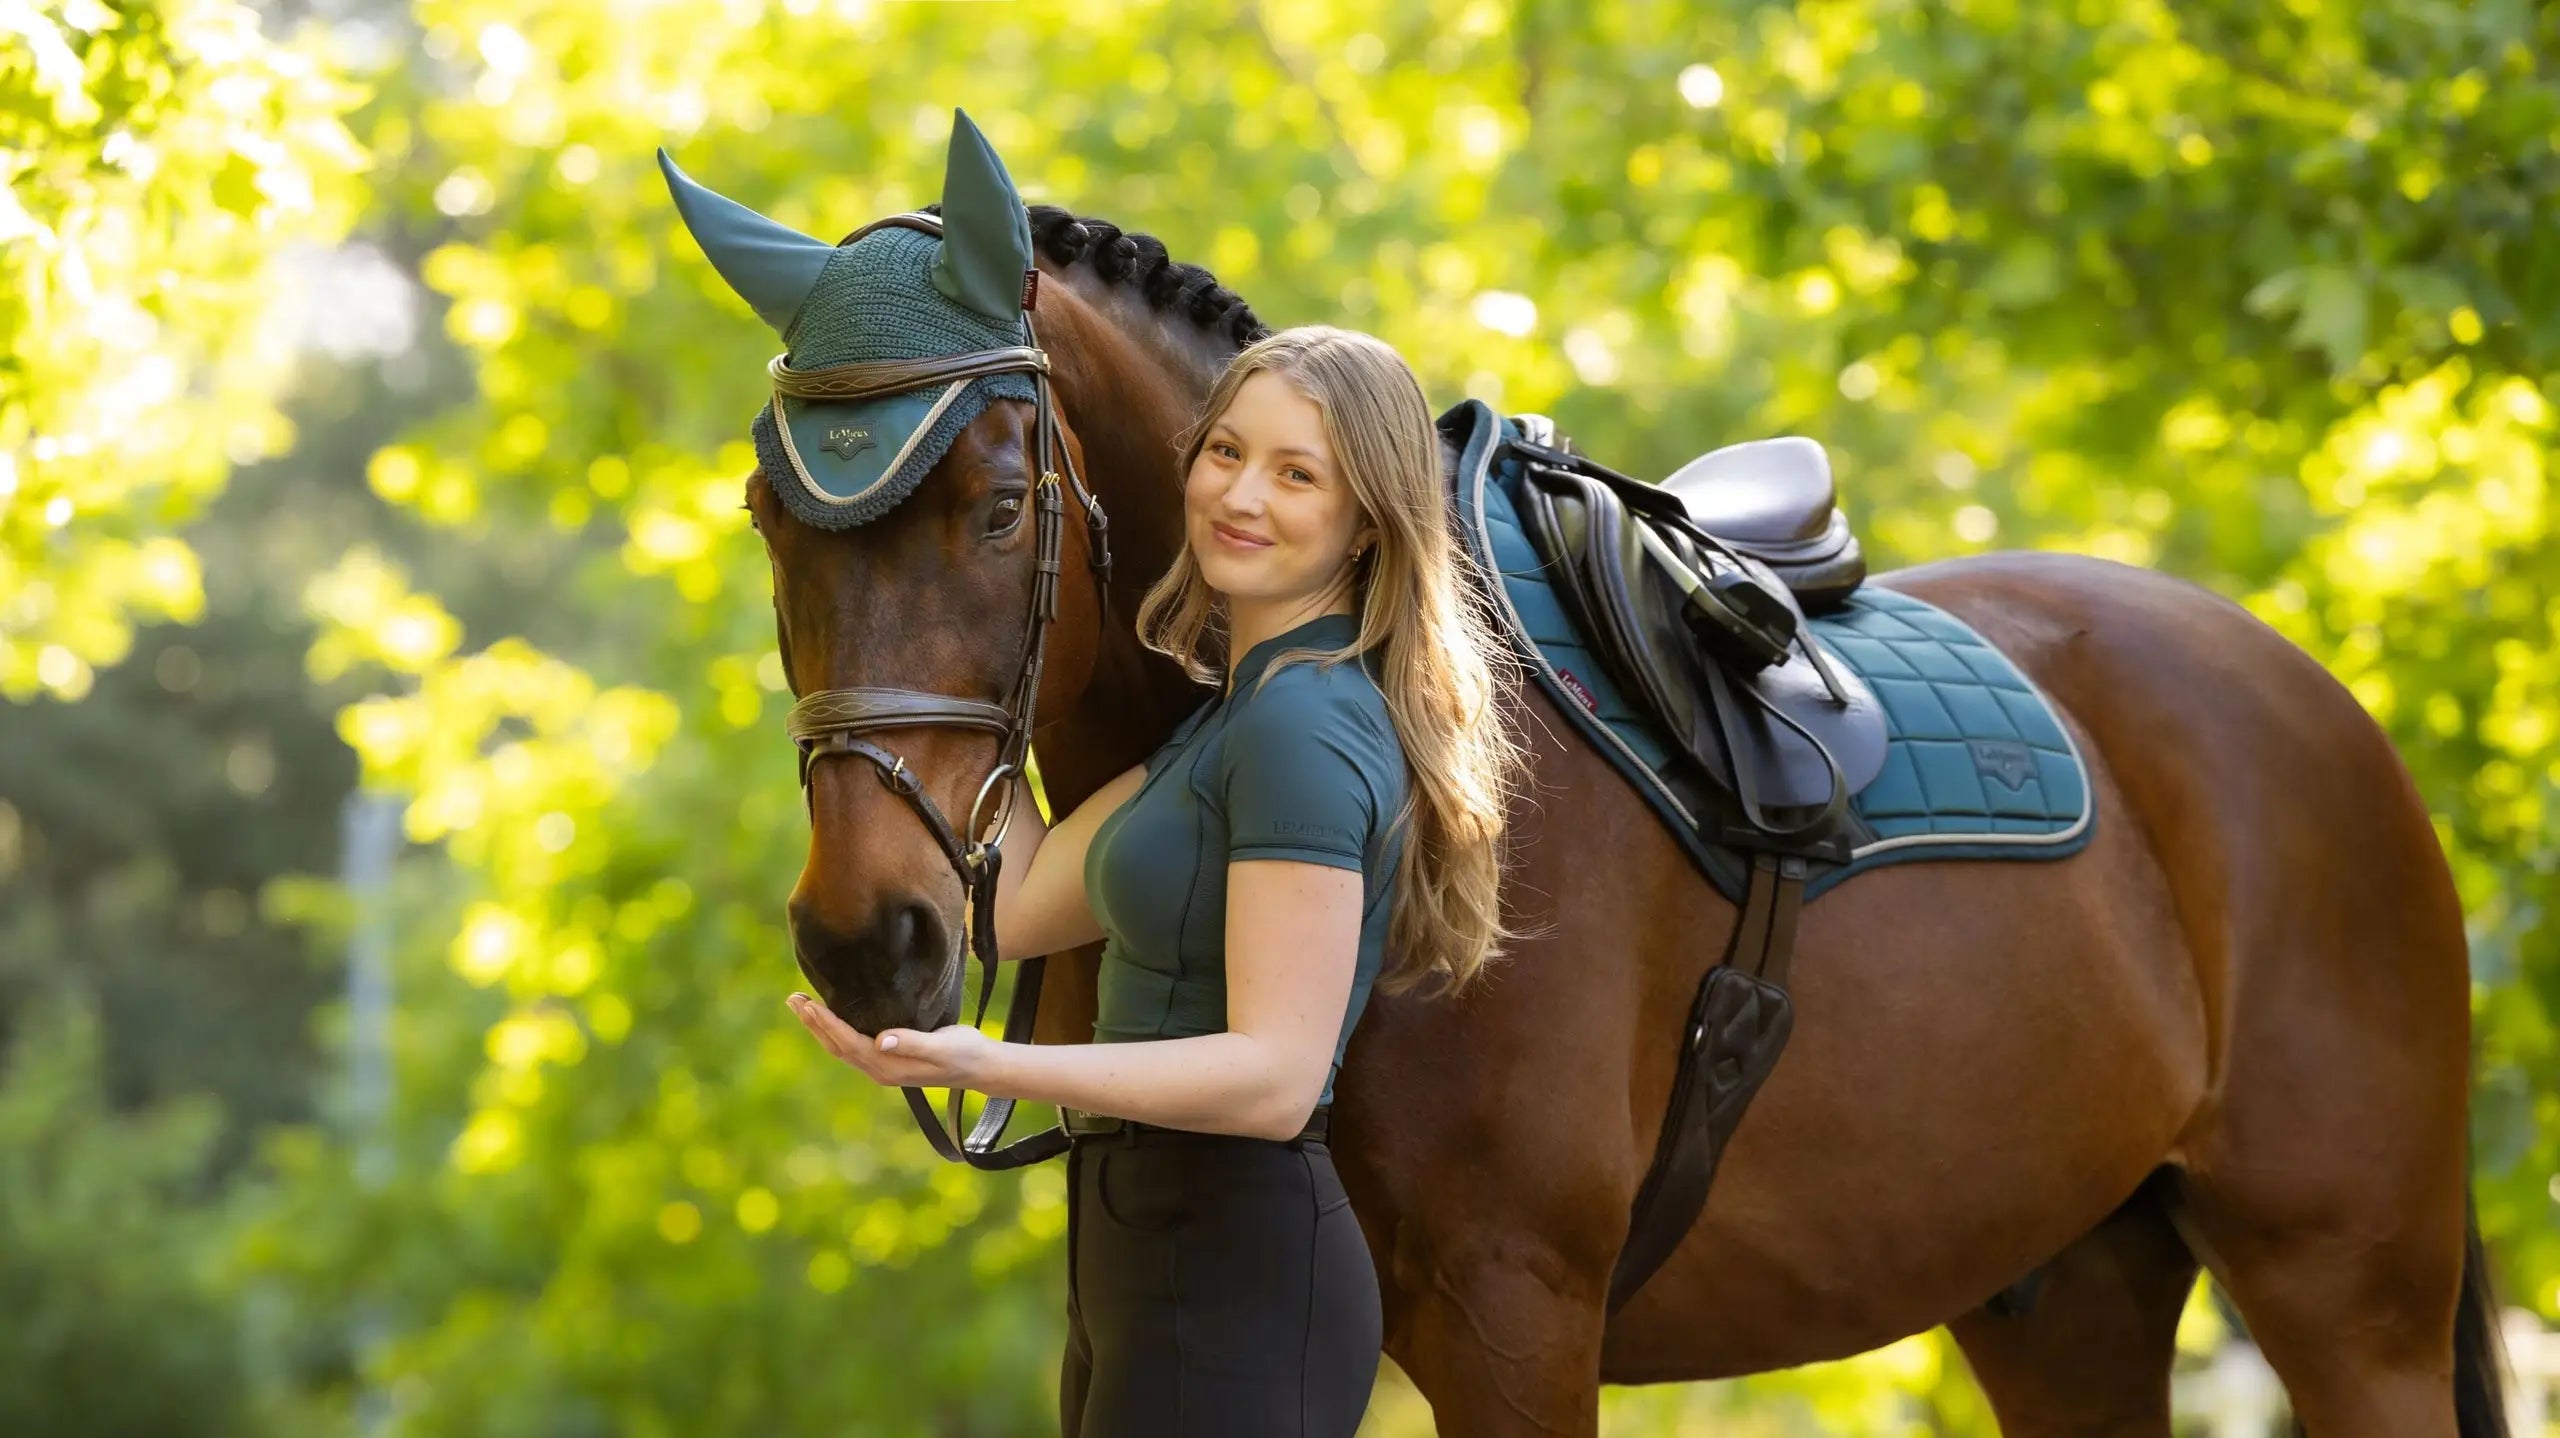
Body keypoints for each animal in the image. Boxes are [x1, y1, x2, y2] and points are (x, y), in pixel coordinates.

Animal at [729, 184, 2507, 1435]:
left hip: (2352, 1293)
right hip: (2068, 1288)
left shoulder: (1517, 1315)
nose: (867, 938)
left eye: (997, 507)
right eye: (766, 515)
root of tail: (2313, 701)